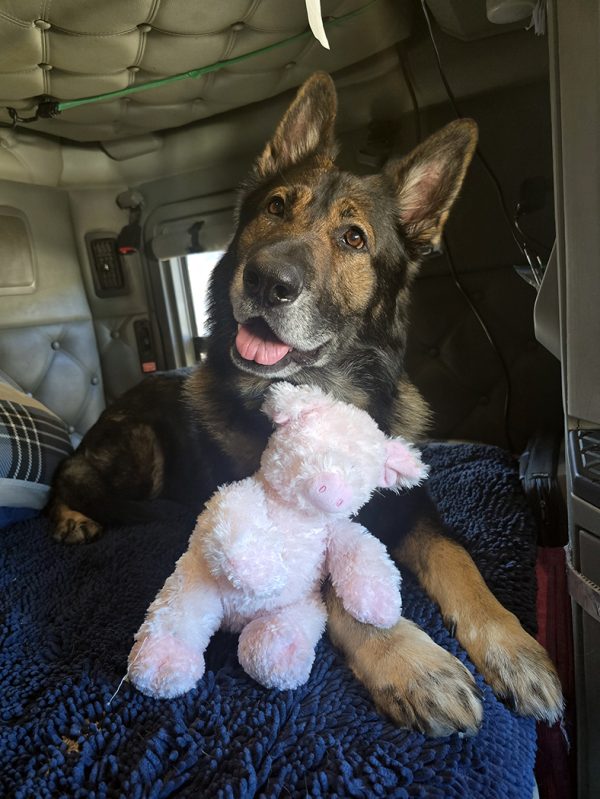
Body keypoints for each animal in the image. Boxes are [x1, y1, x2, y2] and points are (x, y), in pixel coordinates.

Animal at [48, 72, 563, 737]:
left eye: (353, 238)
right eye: (275, 208)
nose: (267, 281)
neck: (327, 397)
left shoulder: (416, 511)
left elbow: (463, 567)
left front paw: (515, 649)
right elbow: (342, 597)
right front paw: (416, 664)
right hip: (140, 448)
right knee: (71, 472)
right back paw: (69, 515)